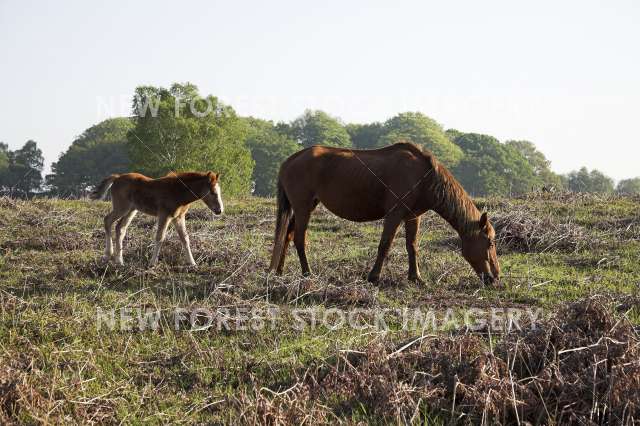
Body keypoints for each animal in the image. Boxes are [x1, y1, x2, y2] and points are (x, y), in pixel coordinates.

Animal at [90, 171, 223, 266]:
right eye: (212, 192)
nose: (219, 210)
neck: (178, 191)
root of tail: (117, 177)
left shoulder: (178, 217)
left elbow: (185, 238)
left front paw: (192, 263)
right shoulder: (164, 215)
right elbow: (160, 237)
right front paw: (152, 263)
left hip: (131, 210)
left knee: (120, 228)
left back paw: (119, 261)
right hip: (121, 207)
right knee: (107, 220)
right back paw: (108, 255)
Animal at [269, 142, 501, 285]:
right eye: (489, 242)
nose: (495, 277)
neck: (424, 176)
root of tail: (289, 161)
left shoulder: (413, 216)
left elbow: (412, 246)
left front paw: (416, 277)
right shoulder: (394, 214)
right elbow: (385, 245)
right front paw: (374, 276)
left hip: (304, 207)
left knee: (287, 235)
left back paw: (279, 271)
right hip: (303, 207)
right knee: (299, 239)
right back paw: (307, 273)